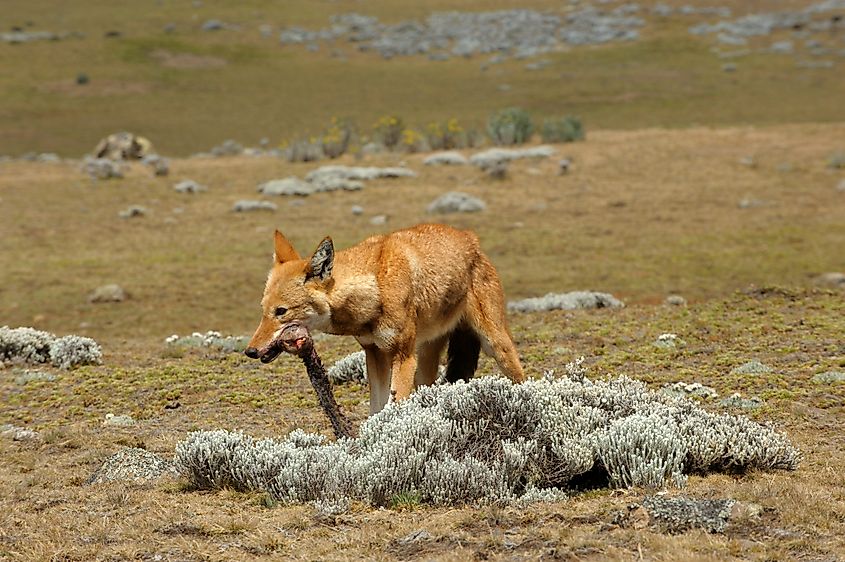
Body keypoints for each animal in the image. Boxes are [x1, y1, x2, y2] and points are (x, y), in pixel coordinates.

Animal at [244, 223, 525, 414]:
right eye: (263, 310)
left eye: (281, 312)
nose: (250, 351)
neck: (376, 285)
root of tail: (471, 238)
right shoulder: (374, 353)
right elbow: (376, 410)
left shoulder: (403, 356)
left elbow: (392, 407)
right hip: (425, 359)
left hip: (496, 347)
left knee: (522, 380)